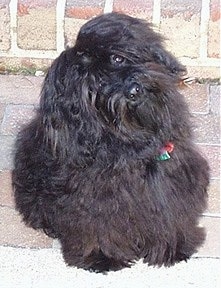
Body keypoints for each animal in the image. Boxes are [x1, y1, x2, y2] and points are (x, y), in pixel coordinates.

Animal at [12, 12, 210, 272]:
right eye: (95, 85)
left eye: (117, 58)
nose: (133, 90)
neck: (133, 141)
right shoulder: (90, 198)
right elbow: (97, 225)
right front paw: (101, 255)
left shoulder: (171, 179)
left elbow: (169, 213)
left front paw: (172, 247)